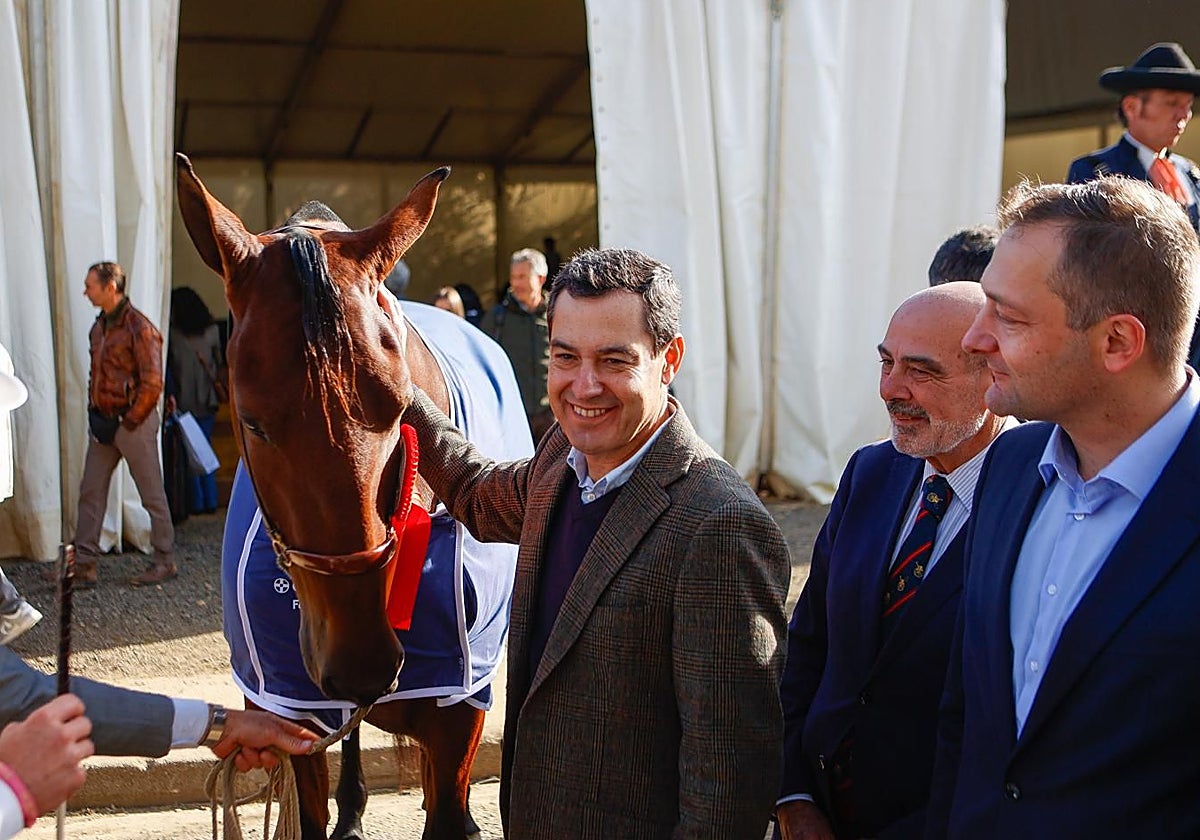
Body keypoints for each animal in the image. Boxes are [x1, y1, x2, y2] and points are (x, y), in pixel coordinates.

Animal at [176, 154, 528, 839]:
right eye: (251, 420)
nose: (362, 661)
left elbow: (448, 806)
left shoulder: (459, 709)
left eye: (398, 407)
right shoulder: (288, 709)